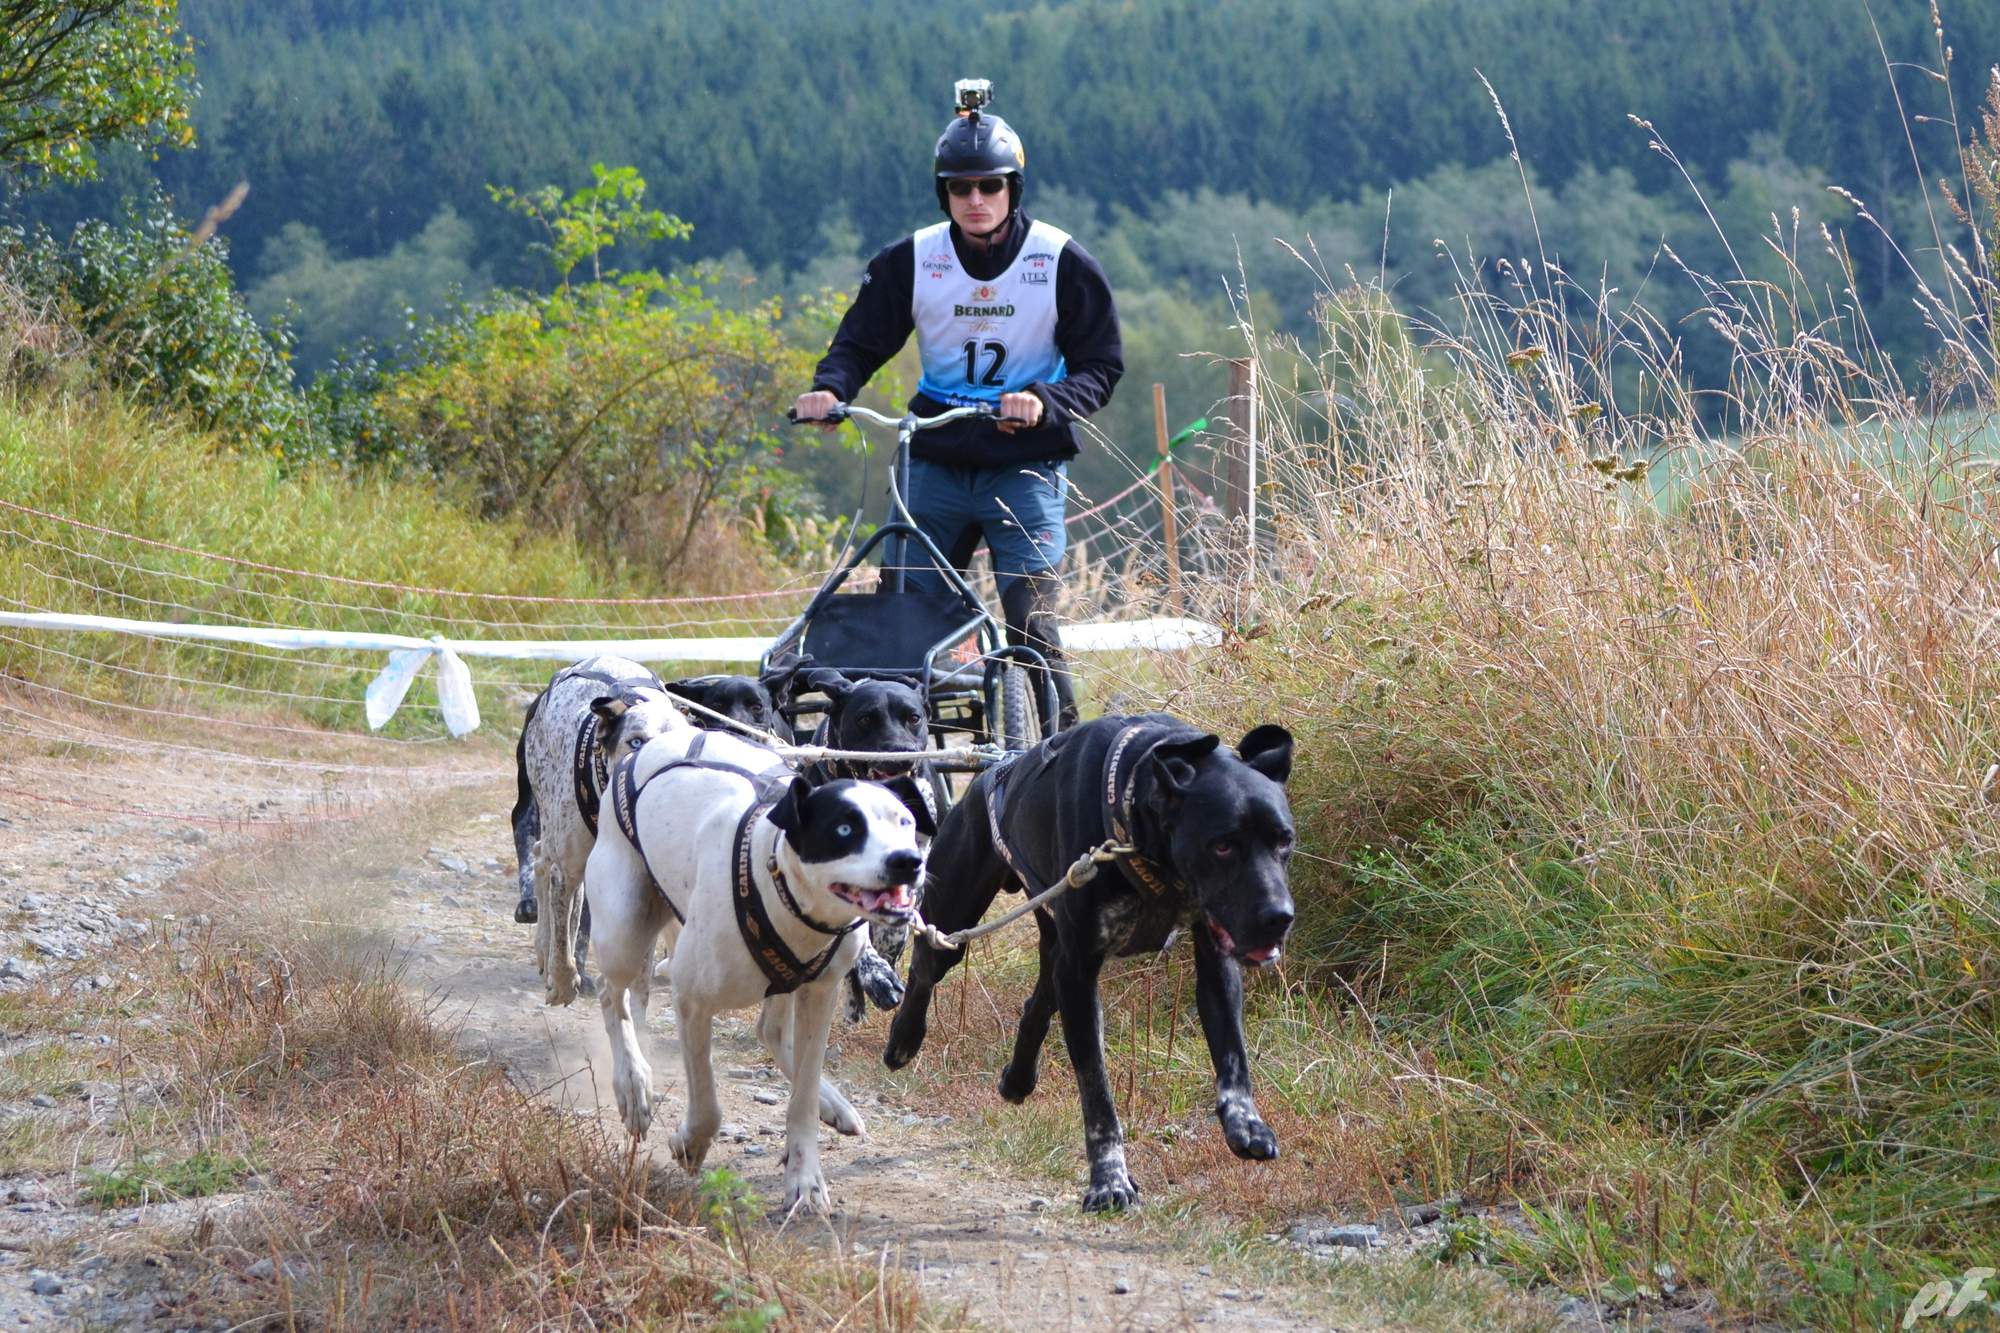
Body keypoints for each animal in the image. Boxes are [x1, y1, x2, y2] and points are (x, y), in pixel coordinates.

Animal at [512, 655, 693, 1004]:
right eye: (635, 741)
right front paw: (563, 980)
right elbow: (563, 937)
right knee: (544, 865)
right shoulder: (567, 870)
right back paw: (545, 948)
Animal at [582, 726, 932, 1212]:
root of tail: (665, 737)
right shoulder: (692, 1001)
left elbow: (802, 1095)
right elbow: (707, 1105)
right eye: (844, 828)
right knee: (612, 996)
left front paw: (805, 1178)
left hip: (784, 983)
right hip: (623, 929)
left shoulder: (819, 991)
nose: (906, 860)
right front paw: (690, 1144)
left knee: (773, 1033)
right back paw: (633, 1085)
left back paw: (833, 1103)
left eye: (904, 823)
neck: (777, 883)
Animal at [883, 713, 1296, 1212]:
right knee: (925, 969)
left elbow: (1232, 1053)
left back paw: (1018, 1078)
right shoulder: (1081, 972)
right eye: (1222, 846)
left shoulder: (1213, 960)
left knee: (1038, 1003)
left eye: (1284, 840)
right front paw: (1109, 1179)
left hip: (1054, 946)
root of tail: (988, 773)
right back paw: (903, 1039)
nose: (1279, 917)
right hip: (958, 922)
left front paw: (1245, 1122)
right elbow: (1097, 1093)